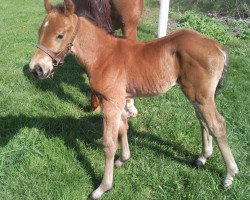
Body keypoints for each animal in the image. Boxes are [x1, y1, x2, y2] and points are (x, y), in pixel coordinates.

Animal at [29, 0, 238, 199]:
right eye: (40, 31)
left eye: (60, 35)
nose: (36, 68)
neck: (103, 55)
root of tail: (218, 46)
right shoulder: (118, 99)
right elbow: (123, 127)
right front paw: (123, 158)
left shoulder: (111, 101)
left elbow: (109, 143)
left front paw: (103, 187)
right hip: (197, 95)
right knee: (203, 120)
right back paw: (203, 157)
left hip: (200, 95)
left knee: (217, 124)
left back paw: (229, 175)